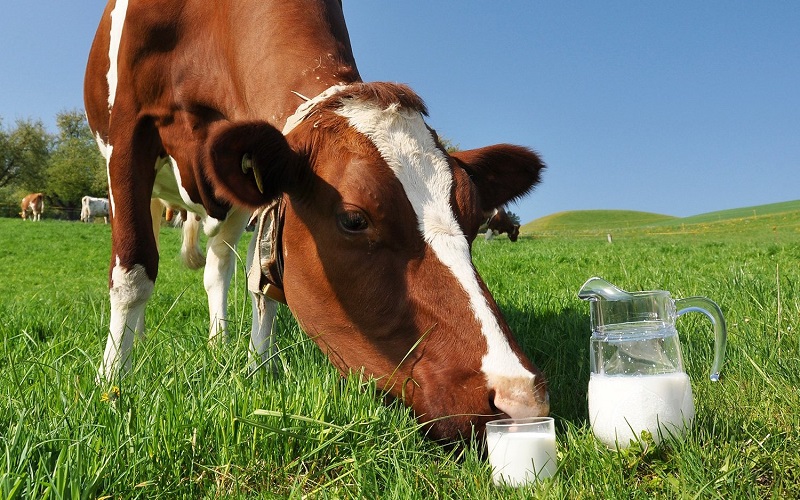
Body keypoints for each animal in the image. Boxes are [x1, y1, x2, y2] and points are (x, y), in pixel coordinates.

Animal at [86, 0, 552, 438]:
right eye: (353, 219)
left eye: (473, 219)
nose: (520, 397)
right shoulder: (127, 130)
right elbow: (133, 271)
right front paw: (113, 383)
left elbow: (263, 282)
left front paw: (259, 369)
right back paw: (137, 342)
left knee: (220, 265)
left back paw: (219, 343)